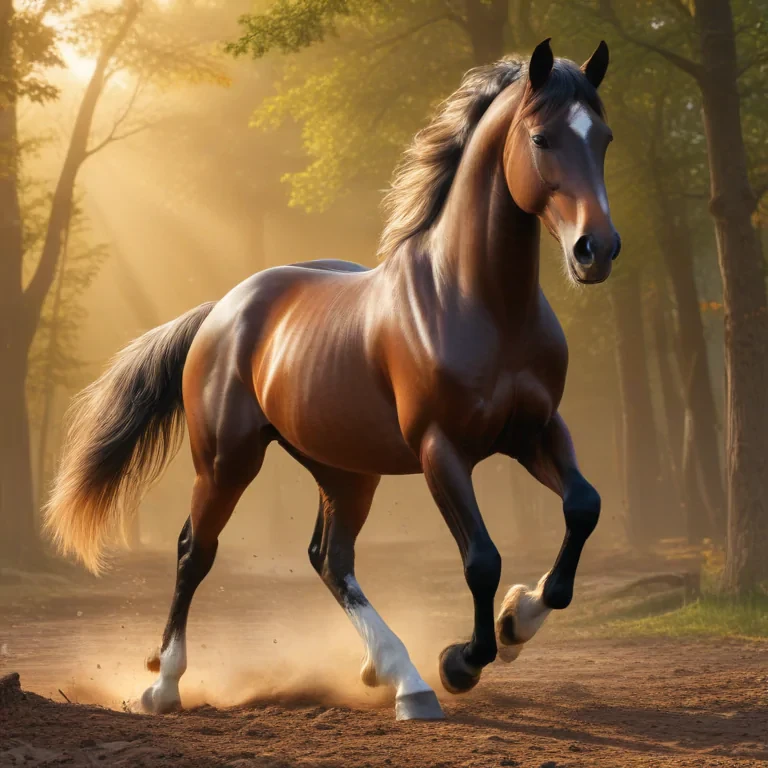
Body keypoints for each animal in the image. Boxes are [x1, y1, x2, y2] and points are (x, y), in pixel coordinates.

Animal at [44, 38, 620, 721]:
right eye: (541, 138)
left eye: (604, 137)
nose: (597, 249)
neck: (482, 304)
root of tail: (221, 309)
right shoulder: (441, 448)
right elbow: (481, 558)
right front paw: (463, 660)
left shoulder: (535, 430)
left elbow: (584, 506)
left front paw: (516, 621)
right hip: (227, 461)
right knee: (195, 551)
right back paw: (166, 686)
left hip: (346, 470)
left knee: (330, 559)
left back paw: (398, 676)